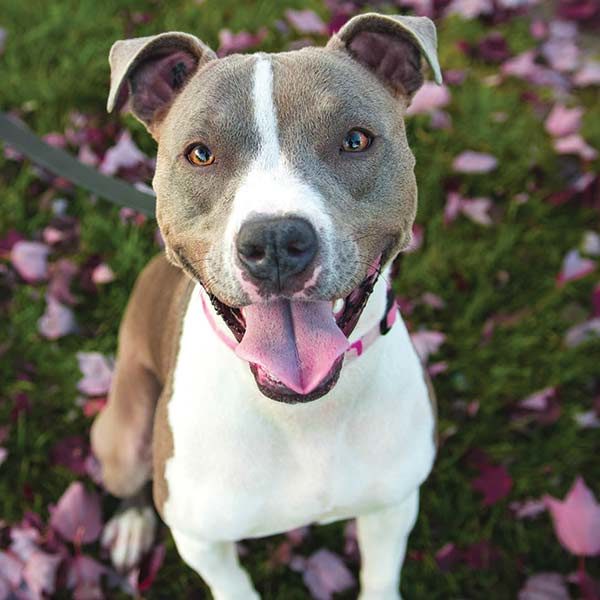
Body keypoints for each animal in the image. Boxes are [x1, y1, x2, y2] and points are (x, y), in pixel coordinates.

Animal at [91, 14, 442, 600]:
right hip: (121, 436)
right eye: (200, 153)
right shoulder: (200, 540)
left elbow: (379, 574)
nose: (277, 240)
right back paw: (132, 524)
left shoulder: (392, 505)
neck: (303, 412)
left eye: (355, 140)